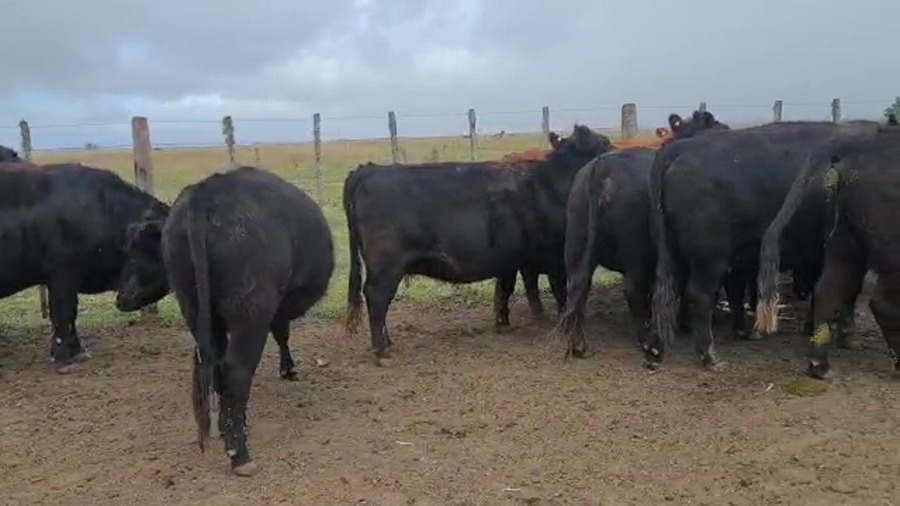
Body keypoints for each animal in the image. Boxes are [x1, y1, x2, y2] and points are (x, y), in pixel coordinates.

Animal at [114, 166, 335, 476]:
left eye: (133, 259)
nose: (119, 298)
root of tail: (204, 193)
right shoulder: (274, 308)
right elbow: (282, 333)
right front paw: (288, 369)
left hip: (193, 307)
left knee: (216, 366)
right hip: (250, 312)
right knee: (235, 371)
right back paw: (240, 454)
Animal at [343, 125, 616, 361]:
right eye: (604, 143)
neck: (552, 182)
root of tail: (368, 170)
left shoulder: (512, 258)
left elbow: (506, 289)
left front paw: (504, 323)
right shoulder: (557, 257)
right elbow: (560, 294)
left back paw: (387, 343)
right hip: (387, 265)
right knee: (377, 297)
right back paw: (382, 350)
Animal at [647, 120, 885, 371]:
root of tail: (681, 148)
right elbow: (845, 291)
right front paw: (843, 334)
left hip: (673, 251)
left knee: (665, 290)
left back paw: (655, 350)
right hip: (710, 257)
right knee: (700, 295)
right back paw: (709, 356)